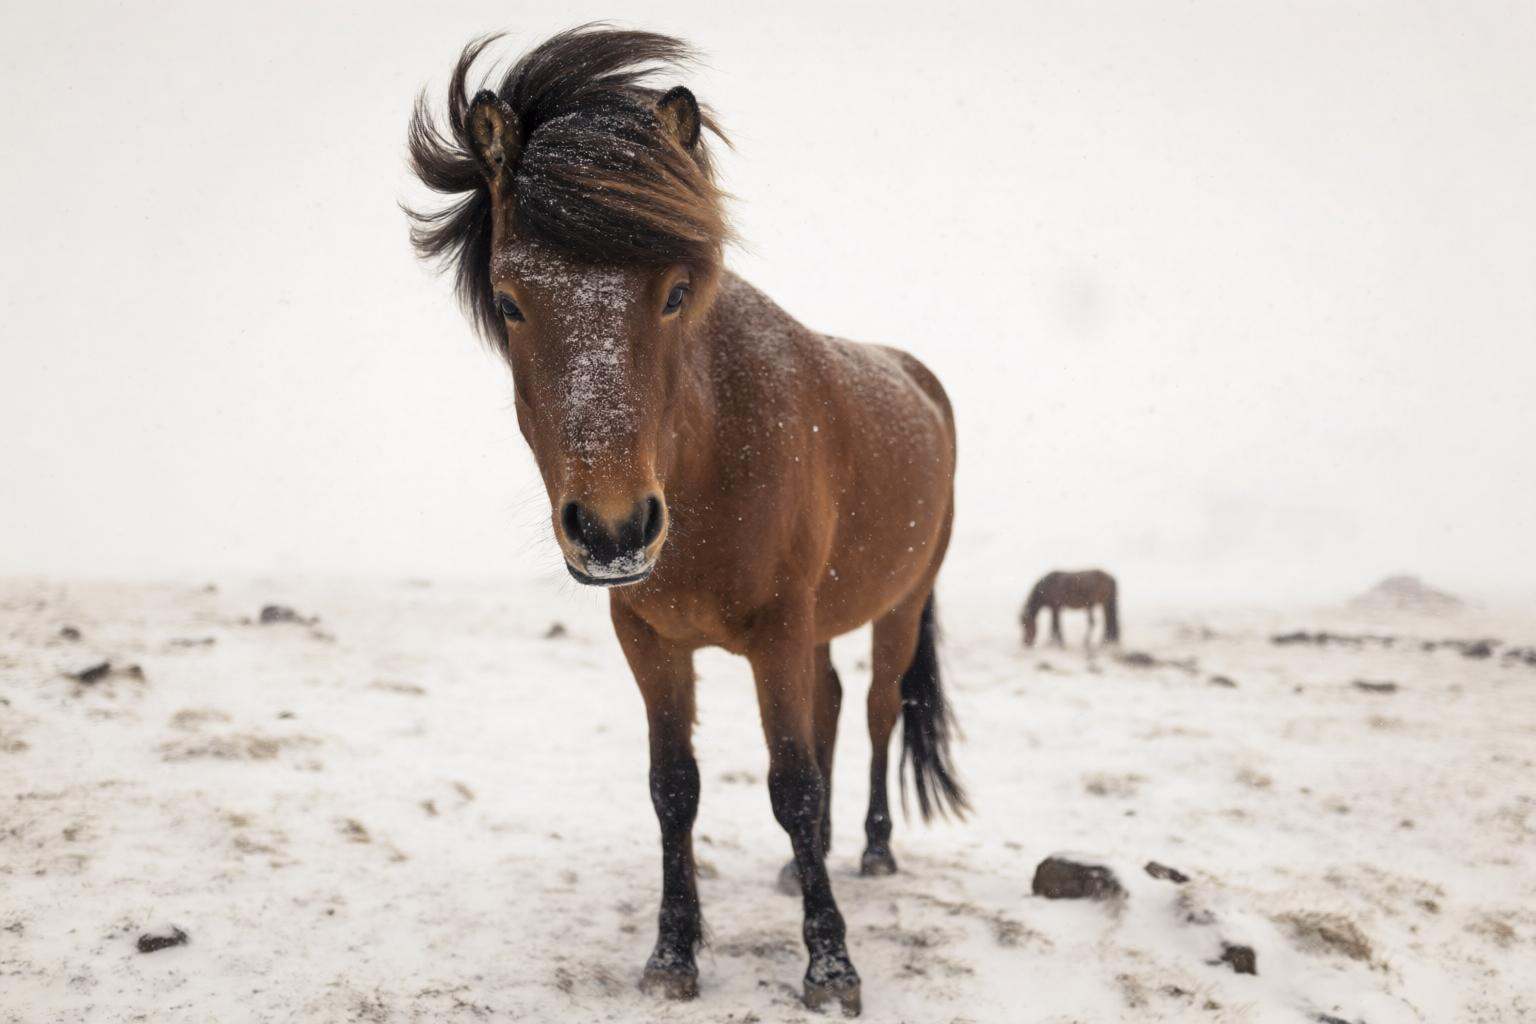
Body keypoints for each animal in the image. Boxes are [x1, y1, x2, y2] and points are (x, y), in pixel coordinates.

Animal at [405, 26, 966, 1016]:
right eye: (510, 301)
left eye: (674, 293)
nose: (614, 531)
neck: (709, 456)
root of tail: (917, 377)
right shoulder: (649, 638)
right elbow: (676, 788)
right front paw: (674, 952)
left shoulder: (777, 632)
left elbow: (793, 787)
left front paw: (831, 965)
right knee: (830, 707)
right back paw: (811, 866)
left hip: (897, 608)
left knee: (873, 713)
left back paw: (871, 850)